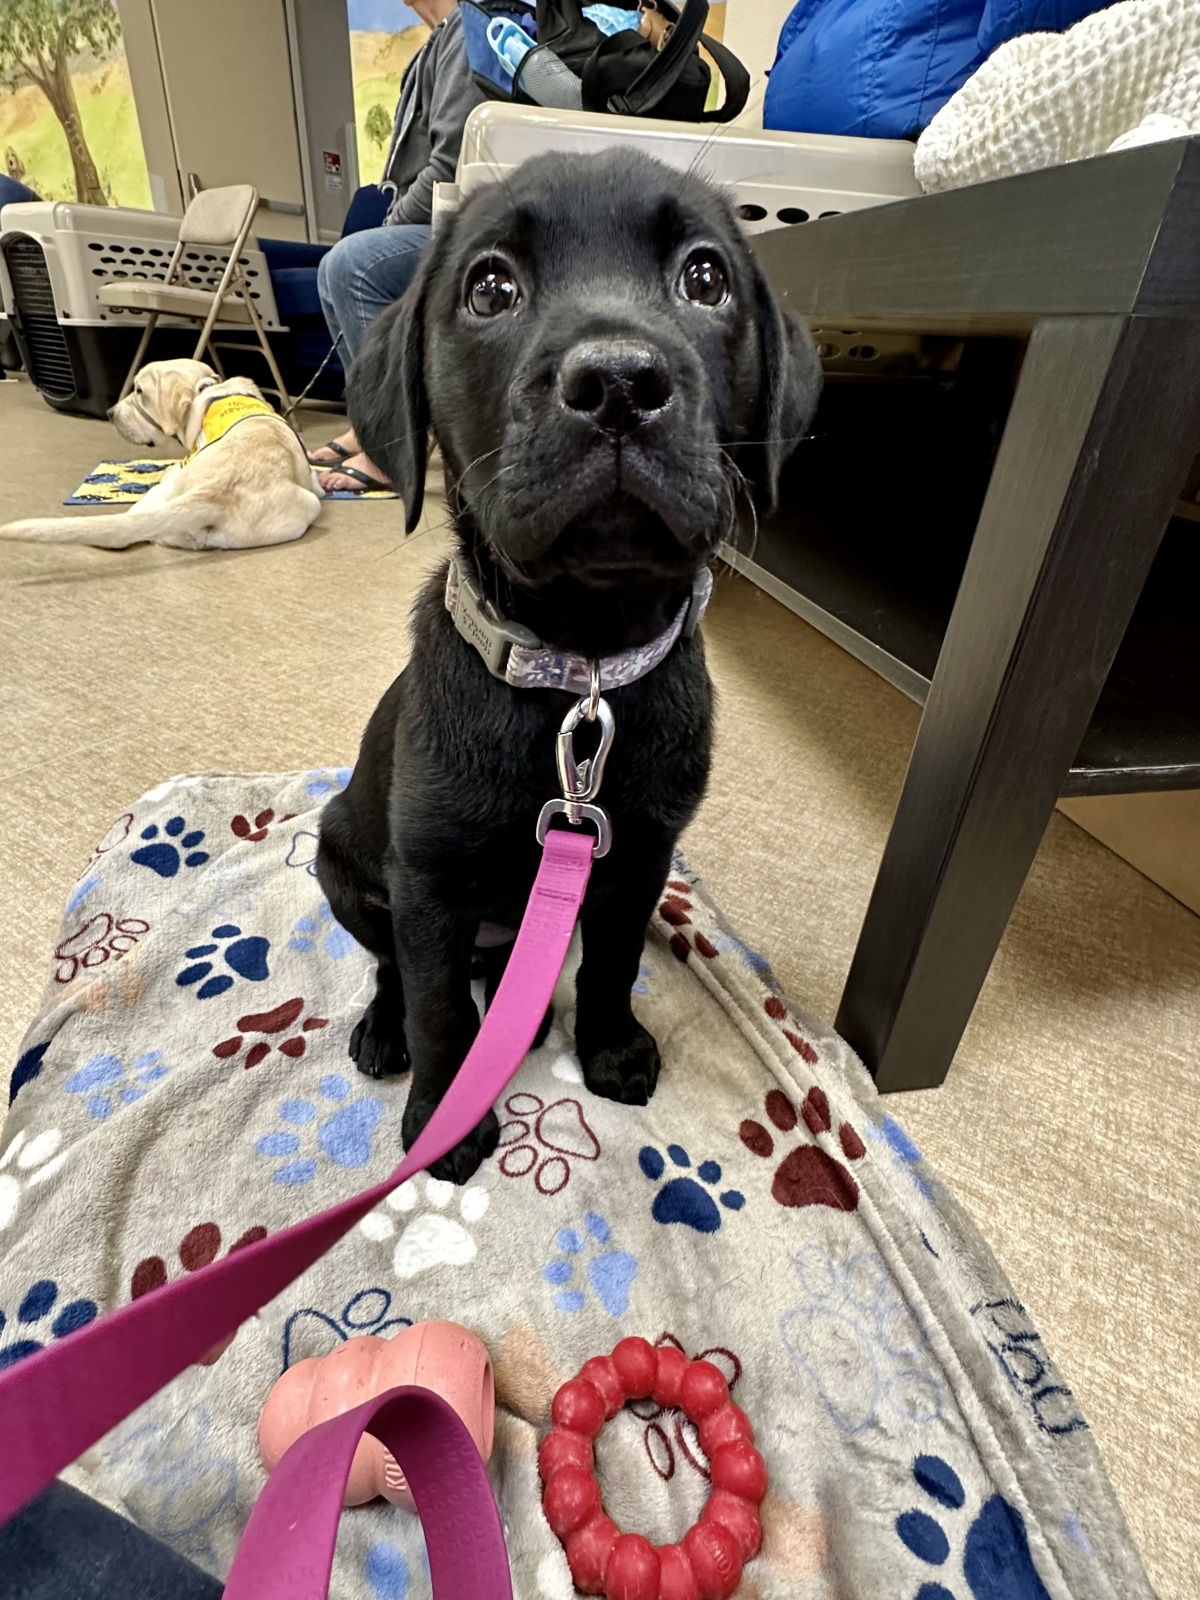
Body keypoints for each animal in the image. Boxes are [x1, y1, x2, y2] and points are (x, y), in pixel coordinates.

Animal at [320, 150, 825, 1184]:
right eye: (490, 288)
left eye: (706, 278)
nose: (620, 382)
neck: (580, 669)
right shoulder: (426, 882)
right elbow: (438, 1008)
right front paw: (445, 1117)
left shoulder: (635, 857)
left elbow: (613, 962)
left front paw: (609, 1048)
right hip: (343, 866)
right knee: (395, 969)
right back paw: (385, 1032)